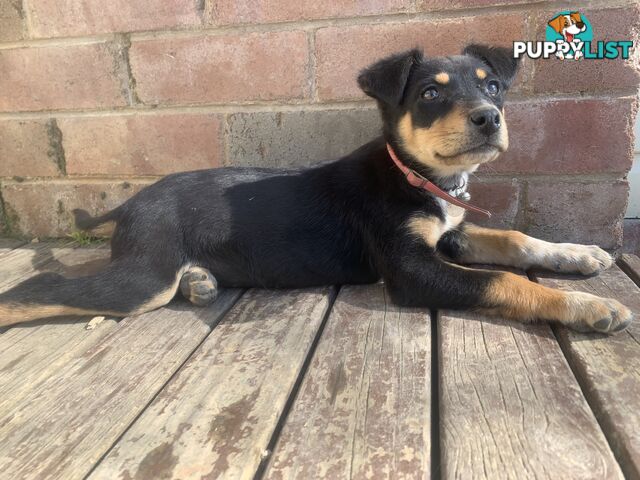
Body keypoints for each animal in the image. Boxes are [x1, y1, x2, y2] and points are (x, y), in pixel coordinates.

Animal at [0, 45, 632, 334]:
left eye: (493, 86)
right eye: (430, 94)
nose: (488, 118)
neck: (416, 176)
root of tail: (128, 203)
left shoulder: (446, 236)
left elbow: (514, 241)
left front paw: (581, 256)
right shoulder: (409, 268)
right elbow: (503, 279)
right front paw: (590, 306)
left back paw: (200, 282)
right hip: (143, 277)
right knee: (44, 286)